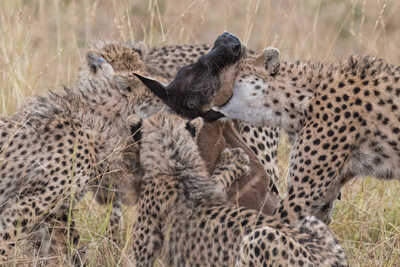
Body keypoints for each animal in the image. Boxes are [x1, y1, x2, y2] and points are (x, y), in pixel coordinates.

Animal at [128, 112, 346, 266]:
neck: (175, 160)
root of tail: (329, 259)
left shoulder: (141, 254)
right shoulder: (213, 188)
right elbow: (219, 180)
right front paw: (235, 160)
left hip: (259, 238)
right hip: (314, 225)